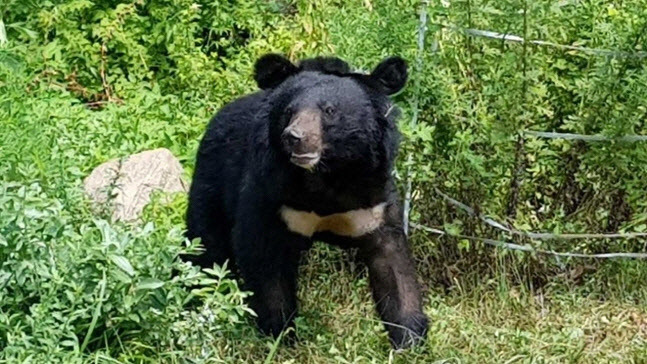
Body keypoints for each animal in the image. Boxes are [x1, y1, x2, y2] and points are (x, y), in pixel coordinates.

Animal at [186, 53, 430, 346]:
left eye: (330, 110)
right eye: (289, 111)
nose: (294, 137)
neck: (326, 176)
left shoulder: (374, 199)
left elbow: (393, 263)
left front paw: (409, 336)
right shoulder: (270, 192)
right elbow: (264, 257)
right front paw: (280, 332)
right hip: (212, 181)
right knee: (206, 245)